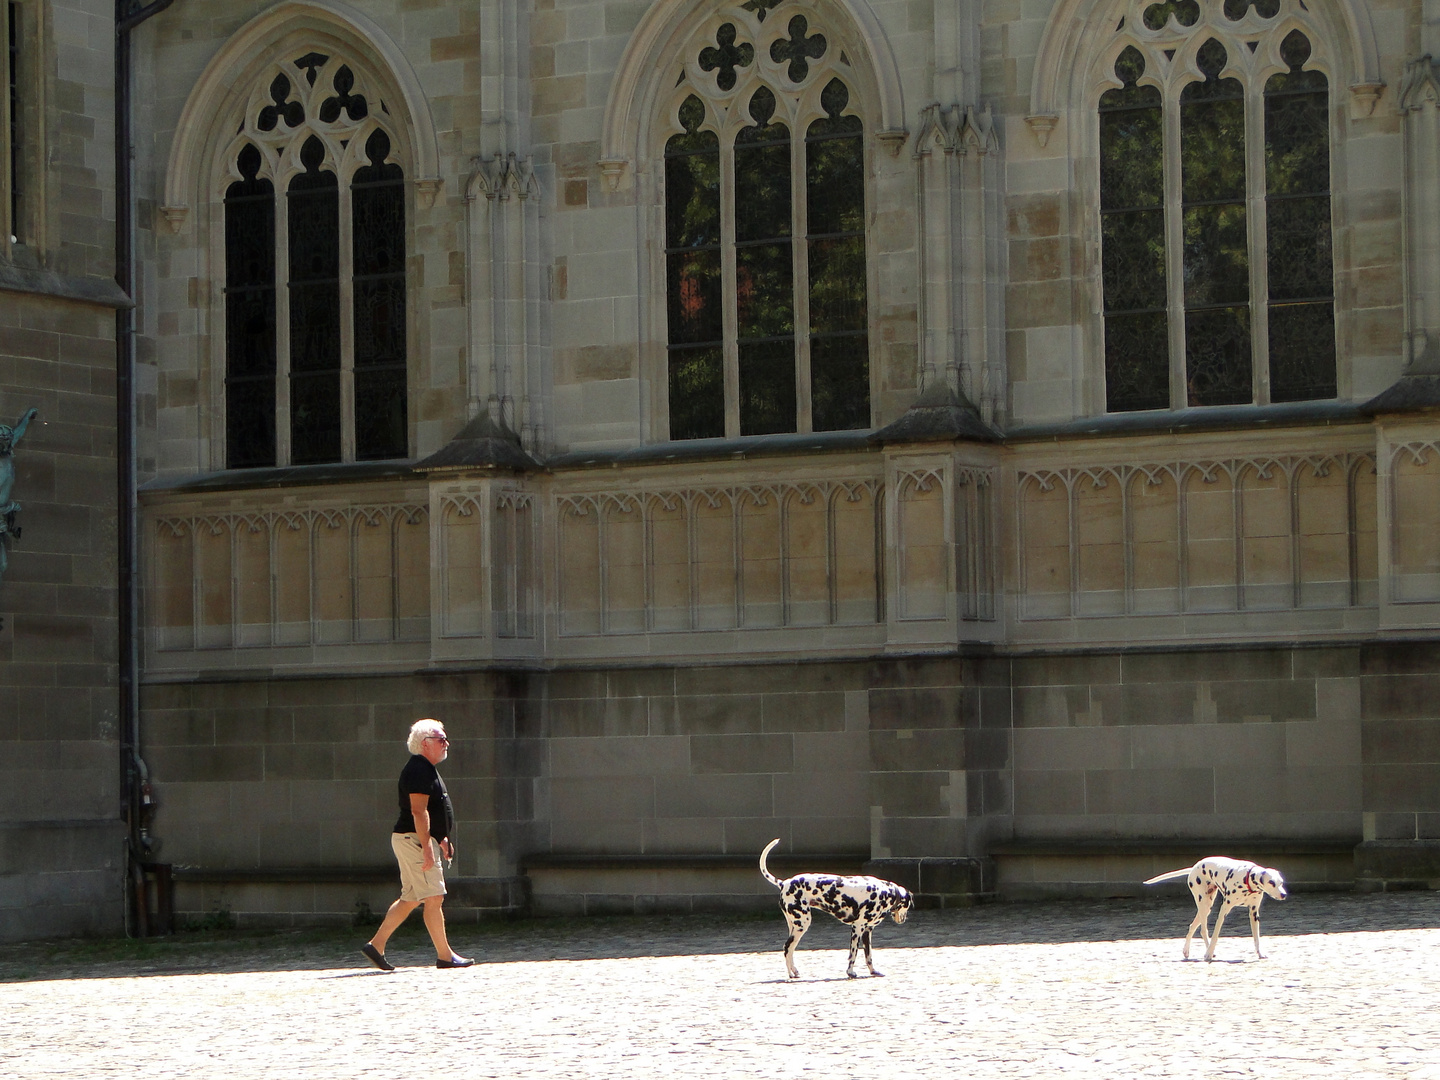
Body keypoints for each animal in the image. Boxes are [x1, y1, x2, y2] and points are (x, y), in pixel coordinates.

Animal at [754, 835, 910, 979]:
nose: (904, 919)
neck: (885, 892)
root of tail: (784, 883)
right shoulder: (857, 928)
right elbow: (853, 954)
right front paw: (850, 972)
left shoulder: (867, 932)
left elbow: (868, 956)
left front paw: (873, 971)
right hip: (802, 925)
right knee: (787, 948)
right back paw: (791, 974)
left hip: (795, 927)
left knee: (790, 949)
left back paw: (795, 972)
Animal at [1146, 864, 1296, 961]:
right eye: (1271, 882)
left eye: (1281, 882)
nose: (1284, 895)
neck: (1247, 881)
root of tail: (1195, 866)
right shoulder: (1224, 910)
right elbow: (1215, 935)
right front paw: (1208, 954)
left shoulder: (1254, 913)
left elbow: (1256, 937)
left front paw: (1260, 953)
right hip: (1204, 905)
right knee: (1203, 930)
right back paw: (1207, 952)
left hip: (1206, 907)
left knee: (1192, 926)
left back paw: (1187, 951)